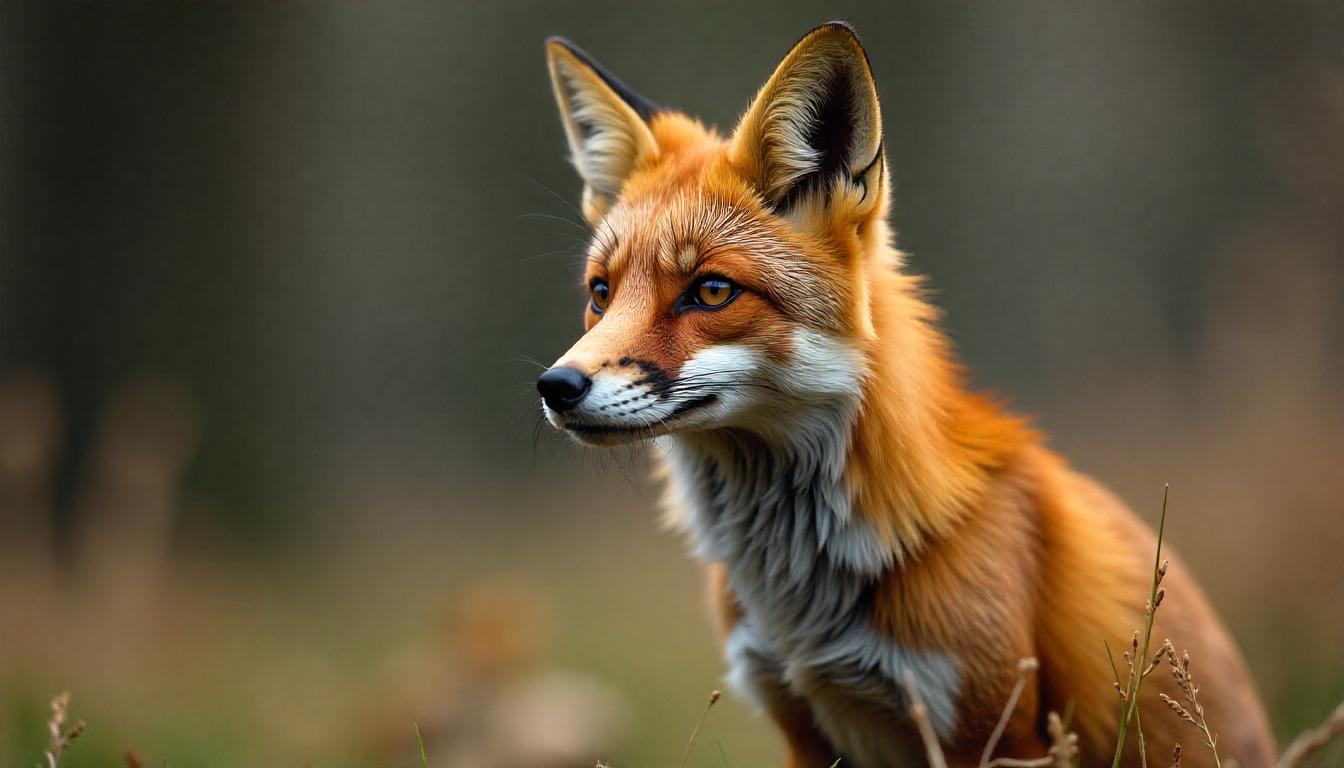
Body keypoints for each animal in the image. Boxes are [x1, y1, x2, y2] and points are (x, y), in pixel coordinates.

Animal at [536, 22, 1276, 768]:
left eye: (712, 291)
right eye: (601, 293)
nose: (556, 386)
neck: (800, 602)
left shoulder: (993, 726)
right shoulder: (799, 720)